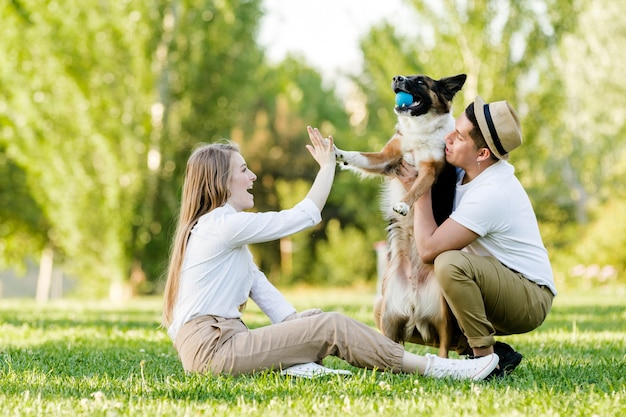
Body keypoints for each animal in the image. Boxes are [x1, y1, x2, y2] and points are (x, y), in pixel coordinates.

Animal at [336, 73, 464, 356]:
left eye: (421, 81)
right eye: (406, 76)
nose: (397, 78)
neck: (418, 130)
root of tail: (414, 304)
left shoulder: (429, 170)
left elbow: (415, 190)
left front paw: (403, 205)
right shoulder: (387, 157)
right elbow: (360, 156)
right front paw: (338, 153)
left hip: (443, 310)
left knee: (444, 345)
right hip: (383, 308)